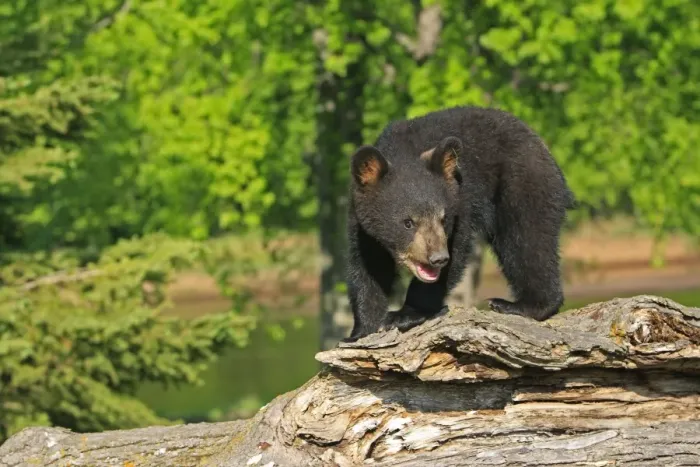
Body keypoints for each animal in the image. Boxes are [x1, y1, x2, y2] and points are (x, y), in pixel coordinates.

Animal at [345, 105, 576, 341]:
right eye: (407, 222)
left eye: (443, 218)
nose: (438, 258)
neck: (405, 151)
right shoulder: (361, 222)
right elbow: (368, 266)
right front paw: (361, 330)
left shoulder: (461, 200)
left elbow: (456, 250)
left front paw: (405, 314)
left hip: (523, 184)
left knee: (527, 240)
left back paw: (521, 305)